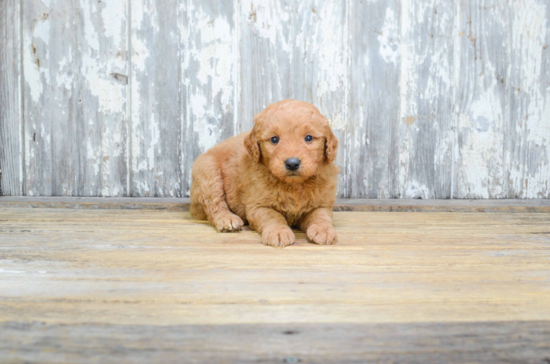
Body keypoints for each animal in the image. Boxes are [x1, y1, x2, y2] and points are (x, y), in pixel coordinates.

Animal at [191, 99, 340, 247]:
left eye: (308, 138)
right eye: (274, 139)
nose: (292, 163)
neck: (293, 185)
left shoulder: (322, 203)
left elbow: (320, 215)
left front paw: (323, 230)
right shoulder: (257, 205)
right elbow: (273, 216)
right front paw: (279, 232)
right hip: (208, 172)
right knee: (214, 204)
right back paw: (227, 219)